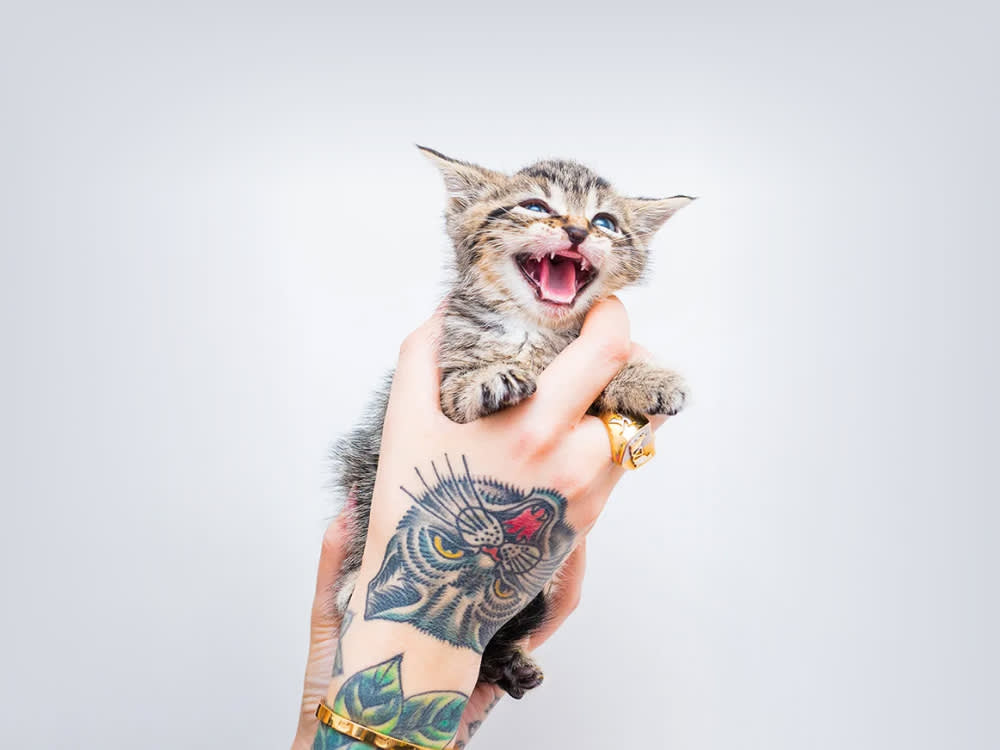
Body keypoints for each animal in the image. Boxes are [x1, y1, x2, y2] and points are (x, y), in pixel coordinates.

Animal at [332, 150, 692, 704]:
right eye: (536, 206)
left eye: (605, 222)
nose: (577, 230)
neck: (532, 331)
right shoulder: (443, 380)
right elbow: (463, 388)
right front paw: (490, 379)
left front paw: (645, 377)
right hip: (363, 468)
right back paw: (354, 583)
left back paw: (512, 662)